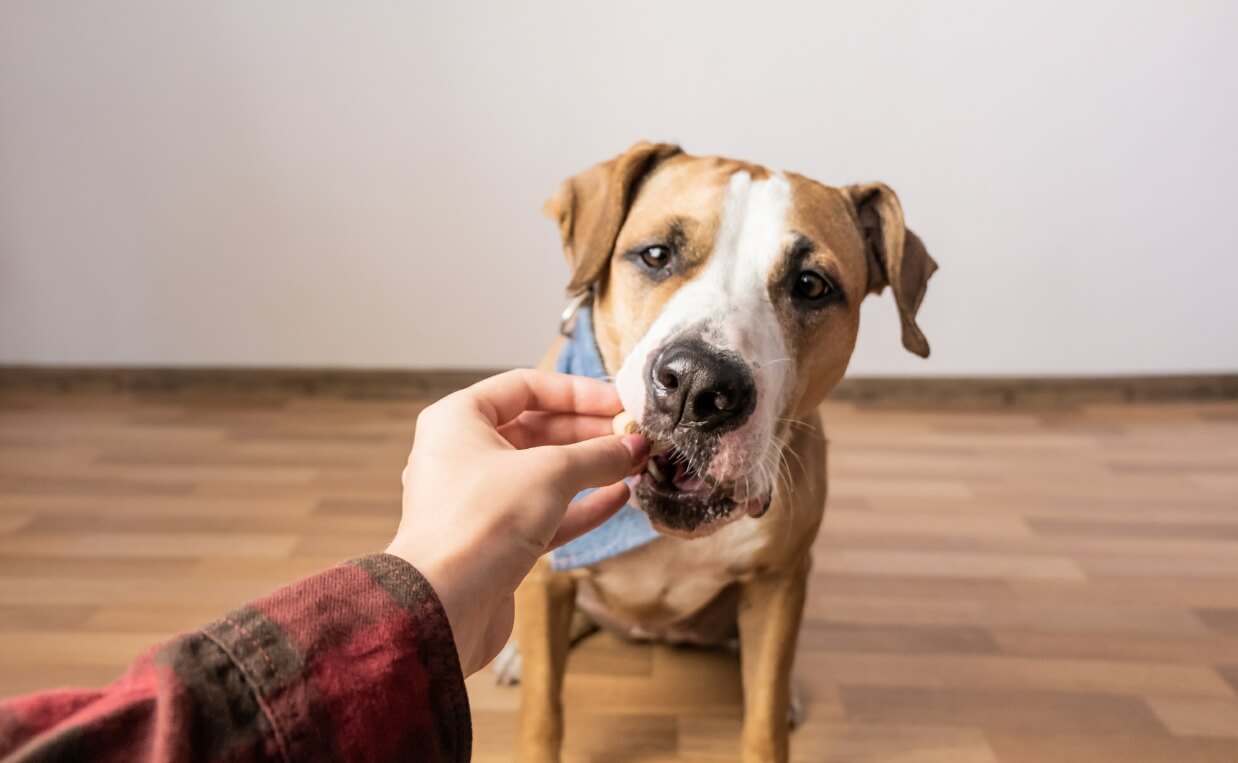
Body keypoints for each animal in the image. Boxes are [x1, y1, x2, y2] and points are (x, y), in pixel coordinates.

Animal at [502, 143, 935, 763]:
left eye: (811, 285)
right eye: (656, 255)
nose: (697, 384)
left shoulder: (779, 584)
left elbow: (764, 717)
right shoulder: (548, 576)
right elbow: (543, 711)